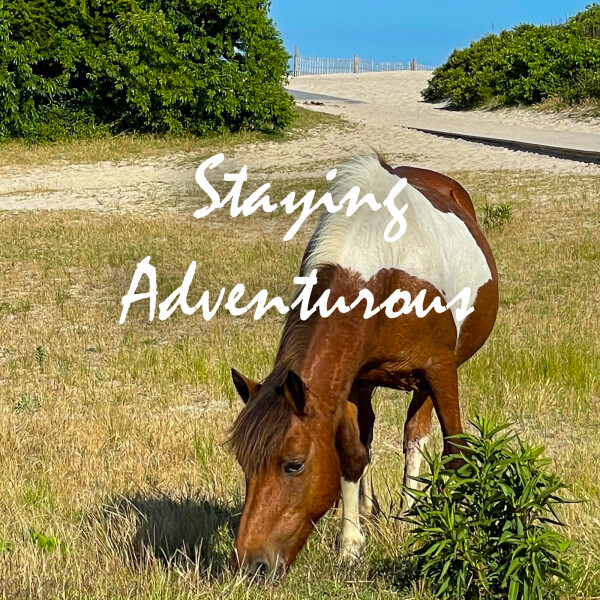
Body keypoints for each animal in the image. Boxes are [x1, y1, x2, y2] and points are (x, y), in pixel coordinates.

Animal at [227, 154, 500, 576]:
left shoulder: (440, 370)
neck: (382, 267)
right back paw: (375, 510)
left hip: (429, 379)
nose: (252, 563)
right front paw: (351, 544)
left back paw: (409, 513)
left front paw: (458, 528)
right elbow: (353, 455)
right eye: (243, 463)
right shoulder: (350, 382)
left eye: (294, 465)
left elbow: (454, 449)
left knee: (414, 436)